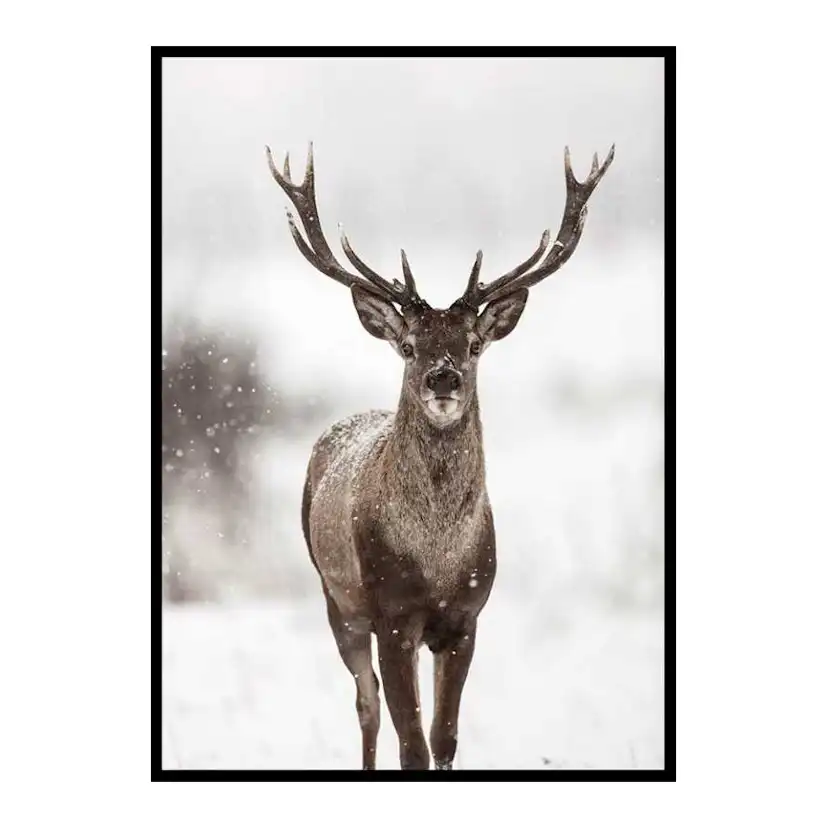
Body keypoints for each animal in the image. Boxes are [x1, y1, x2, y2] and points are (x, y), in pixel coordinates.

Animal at [266, 142, 614, 770]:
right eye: (408, 346)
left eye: (473, 344)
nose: (443, 377)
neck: (436, 558)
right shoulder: (391, 615)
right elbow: (412, 744)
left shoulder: (466, 618)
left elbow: (445, 738)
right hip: (336, 598)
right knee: (366, 706)